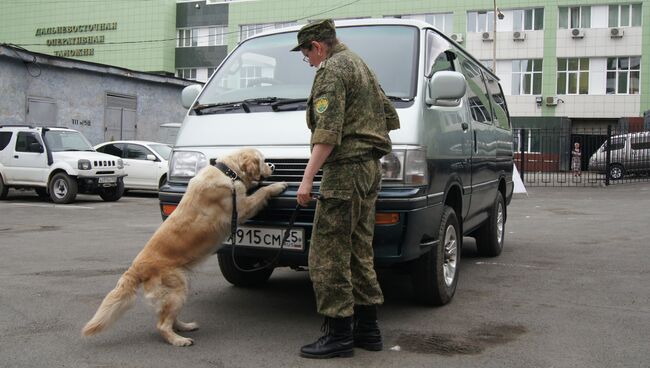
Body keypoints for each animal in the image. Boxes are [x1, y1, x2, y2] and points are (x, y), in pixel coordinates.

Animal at [80, 148, 284, 346]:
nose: (273, 166)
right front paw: (278, 185)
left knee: (168, 318)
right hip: (177, 289)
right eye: (263, 160)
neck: (228, 172)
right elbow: (261, 193)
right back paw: (179, 340)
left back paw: (185, 326)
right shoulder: (240, 208)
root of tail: (136, 267)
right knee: (162, 324)